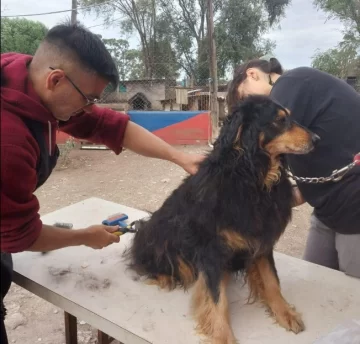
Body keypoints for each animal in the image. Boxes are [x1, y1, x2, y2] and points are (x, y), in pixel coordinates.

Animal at [123, 94, 318, 344]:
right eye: (280, 120)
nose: (317, 139)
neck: (251, 178)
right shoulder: (212, 249)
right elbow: (217, 299)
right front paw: (224, 337)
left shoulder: (261, 240)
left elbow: (272, 281)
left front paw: (284, 313)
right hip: (160, 233)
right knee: (151, 262)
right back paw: (164, 277)